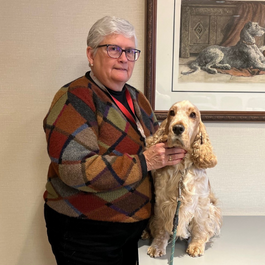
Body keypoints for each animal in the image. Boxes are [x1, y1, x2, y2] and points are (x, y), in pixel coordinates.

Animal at [142, 100, 221, 256]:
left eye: (193, 114)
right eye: (172, 112)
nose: (178, 128)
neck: (181, 167)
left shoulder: (201, 203)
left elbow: (200, 226)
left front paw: (196, 245)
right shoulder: (162, 202)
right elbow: (161, 228)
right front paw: (157, 246)